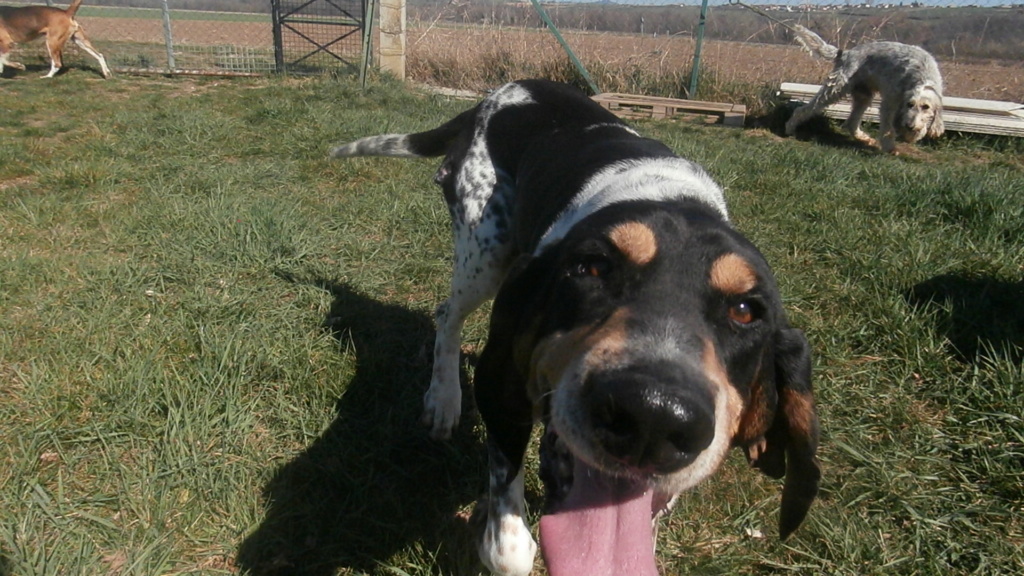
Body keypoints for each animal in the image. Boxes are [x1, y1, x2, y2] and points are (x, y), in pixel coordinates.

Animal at [331, 80, 819, 573]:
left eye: (745, 310)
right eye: (592, 267)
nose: (653, 415)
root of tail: (494, 96)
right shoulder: (504, 391)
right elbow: (508, 547)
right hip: (483, 254)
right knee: (447, 315)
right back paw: (444, 399)